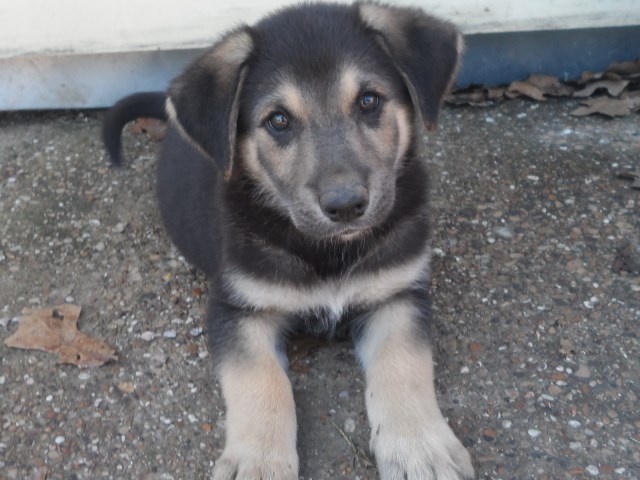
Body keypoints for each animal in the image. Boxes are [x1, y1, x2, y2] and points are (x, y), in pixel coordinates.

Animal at [104, 1, 476, 478]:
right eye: (278, 121)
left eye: (369, 101)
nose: (345, 206)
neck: (326, 251)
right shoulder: (238, 309)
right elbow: (262, 380)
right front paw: (259, 459)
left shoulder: (398, 294)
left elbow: (404, 364)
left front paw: (419, 448)